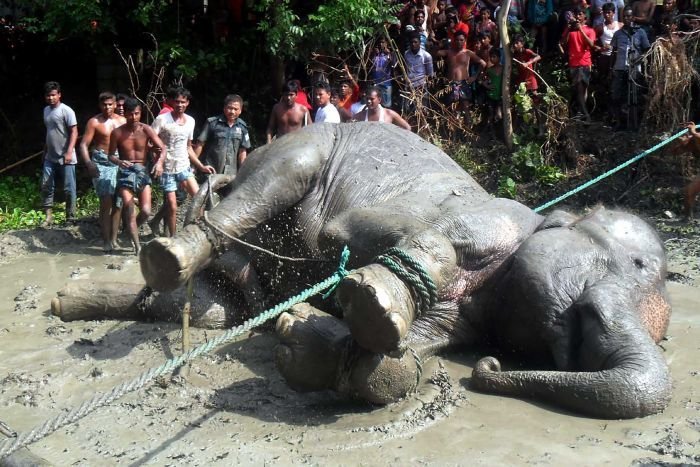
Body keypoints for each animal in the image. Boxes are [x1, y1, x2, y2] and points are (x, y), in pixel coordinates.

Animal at [117, 123, 668, 420]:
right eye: (636, 264)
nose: (489, 367)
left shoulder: (465, 318)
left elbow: (404, 358)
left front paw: (302, 335)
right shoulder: (491, 215)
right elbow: (343, 236)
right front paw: (371, 303)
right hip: (305, 144)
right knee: (275, 181)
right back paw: (170, 259)